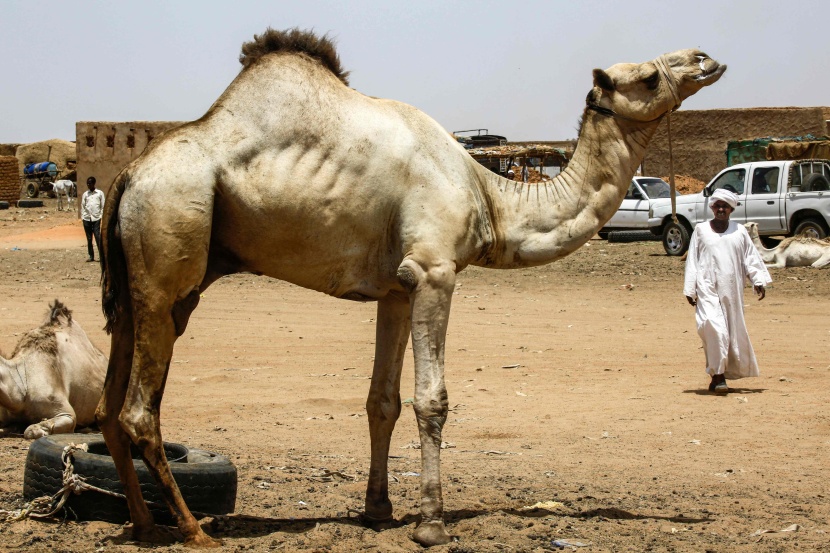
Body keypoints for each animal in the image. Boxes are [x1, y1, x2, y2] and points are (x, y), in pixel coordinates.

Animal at [94, 28, 724, 544]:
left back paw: (145, 525)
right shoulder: (433, 272)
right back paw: (193, 530)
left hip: (134, 291)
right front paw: (431, 524)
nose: (706, 58)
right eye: (647, 77)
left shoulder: (396, 289)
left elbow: (383, 401)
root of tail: (127, 175)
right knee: (139, 411)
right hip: (169, 254)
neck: (490, 196)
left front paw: (378, 511)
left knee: (108, 406)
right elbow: (431, 400)